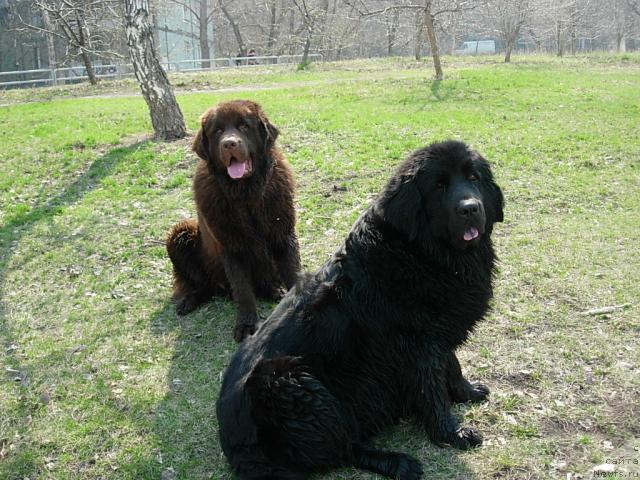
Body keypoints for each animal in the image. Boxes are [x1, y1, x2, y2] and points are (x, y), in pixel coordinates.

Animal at [168, 100, 302, 342]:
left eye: (244, 126)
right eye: (218, 131)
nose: (229, 144)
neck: (245, 195)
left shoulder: (284, 235)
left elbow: (293, 272)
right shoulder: (232, 247)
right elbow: (242, 289)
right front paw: (247, 325)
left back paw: (274, 290)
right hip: (180, 233)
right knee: (203, 285)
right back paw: (189, 300)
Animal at [216, 141, 504, 478]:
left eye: (473, 177)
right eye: (438, 186)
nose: (470, 208)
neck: (420, 251)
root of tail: (231, 444)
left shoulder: (437, 333)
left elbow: (452, 365)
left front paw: (466, 392)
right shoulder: (417, 347)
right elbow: (432, 392)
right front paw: (451, 433)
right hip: (289, 384)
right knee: (344, 448)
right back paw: (398, 462)